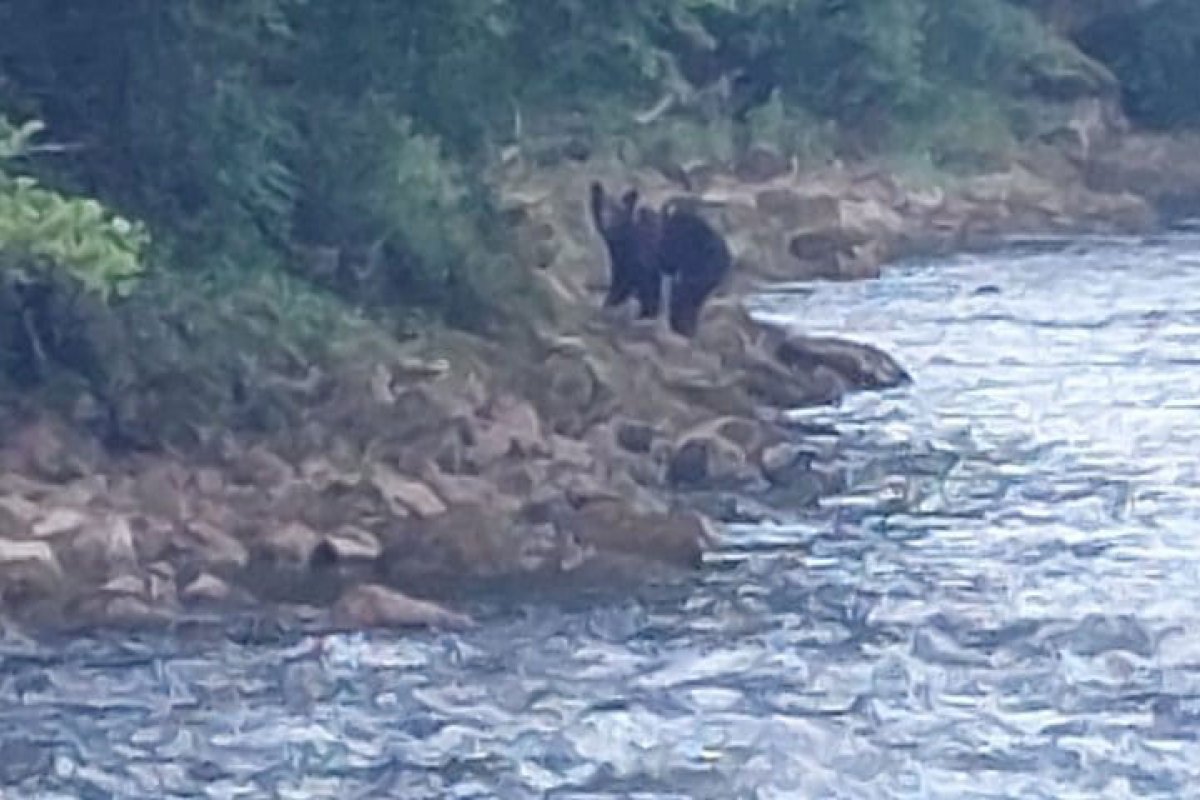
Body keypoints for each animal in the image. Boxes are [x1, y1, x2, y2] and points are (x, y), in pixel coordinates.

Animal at [588, 179, 729, 335]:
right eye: (602, 208)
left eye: (618, 212)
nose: (607, 222)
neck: (625, 238)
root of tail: (727, 254)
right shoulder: (622, 258)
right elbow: (622, 282)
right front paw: (608, 306)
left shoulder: (644, 253)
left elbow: (647, 283)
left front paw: (645, 315)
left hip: (699, 265)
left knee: (683, 297)